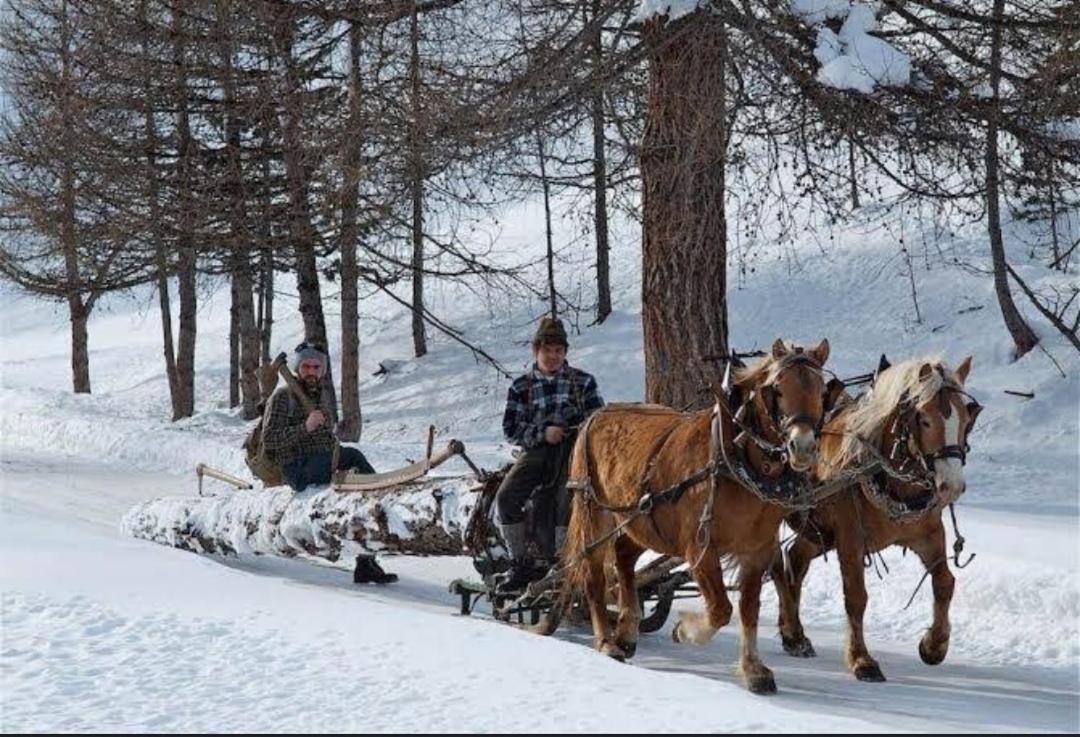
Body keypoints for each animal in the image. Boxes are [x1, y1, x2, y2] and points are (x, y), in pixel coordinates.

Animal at [557, 335, 833, 691]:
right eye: (778, 388)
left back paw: (627, 631)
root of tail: (597, 414)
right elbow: (720, 610)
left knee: (623, 556)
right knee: (593, 574)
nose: (803, 447)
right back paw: (607, 641)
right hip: (594, 512)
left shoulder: (756, 551)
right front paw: (685, 630)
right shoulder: (699, 548)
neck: (737, 458)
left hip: (645, 521)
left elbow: (748, 609)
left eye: (821, 390)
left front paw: (753, 669)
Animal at [773, 352, 984, 678]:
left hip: (818, 532)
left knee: (794, 561)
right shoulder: (849, 538)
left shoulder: (928, 534)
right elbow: (856, 596)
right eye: (924, 420)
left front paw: (934, 645)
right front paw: (861, 659)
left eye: (966, 418)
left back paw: (793, 635)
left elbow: (944, 582)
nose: (951, 485)